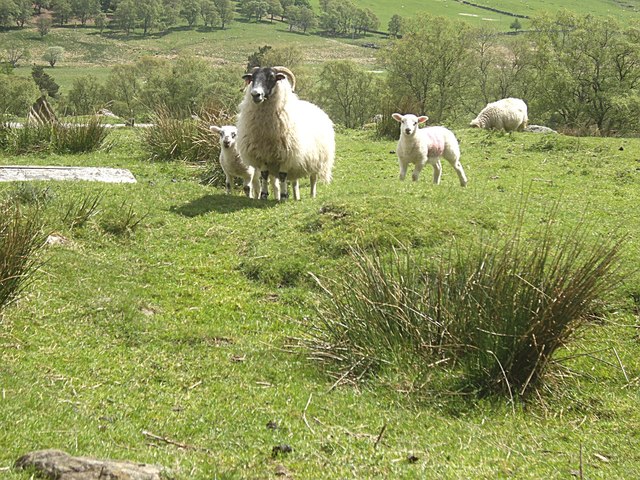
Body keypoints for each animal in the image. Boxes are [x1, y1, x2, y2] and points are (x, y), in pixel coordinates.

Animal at [236, 66, 335, 201]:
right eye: (253, 78)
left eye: (271, 77)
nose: (255, 94)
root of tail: (317, 108)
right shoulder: (263, 154)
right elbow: (265, 175)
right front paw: (264, 195)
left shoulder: (287, 155)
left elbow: (282, 175)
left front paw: (283, 196)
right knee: (294, 181)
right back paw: (295, 196)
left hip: (317, 159)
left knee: (313, 178)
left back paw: (312, 195)